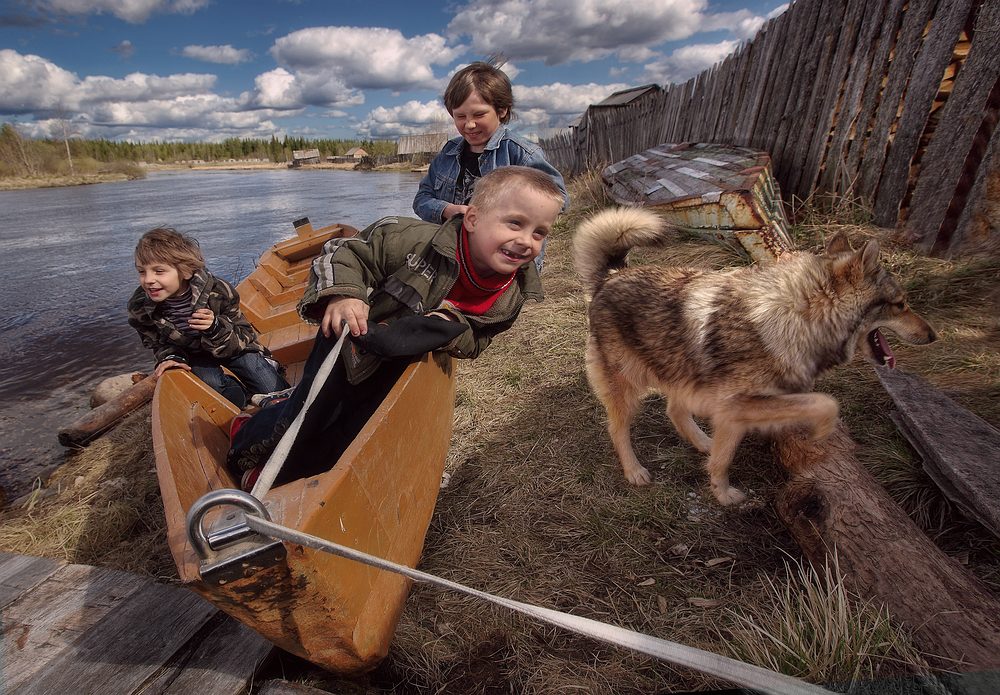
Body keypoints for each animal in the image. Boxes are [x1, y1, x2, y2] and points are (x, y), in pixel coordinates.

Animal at [580, 207, 936, 506]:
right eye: (901, 304)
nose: (934, 336)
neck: (796, 317)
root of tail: (611, 274)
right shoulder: (738, 406)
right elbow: (825, 402)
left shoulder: (734, 411)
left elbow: (723, 457)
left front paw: (721, 492)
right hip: (629, 387)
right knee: (618, 429)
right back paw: (634, 471)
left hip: (682, 373)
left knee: (674, 411)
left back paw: (703, 443)